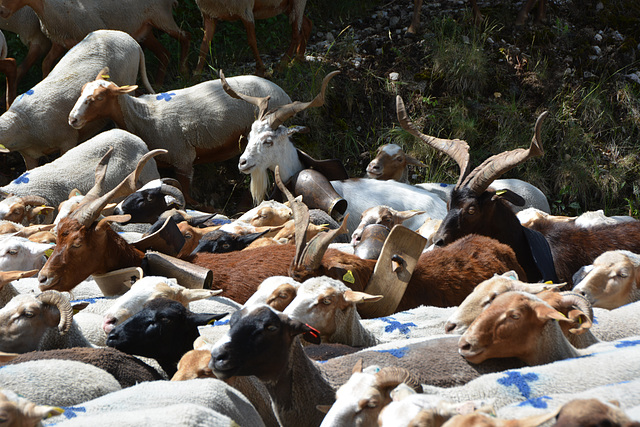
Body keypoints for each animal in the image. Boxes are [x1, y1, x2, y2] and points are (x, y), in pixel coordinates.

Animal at [0, 0, 188, 81]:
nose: (1, 11)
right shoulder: (60, 42)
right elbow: (46, 63)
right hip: (144, 28)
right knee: (164, 53)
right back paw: (159, 84)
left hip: (162, 17)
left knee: (186, 36)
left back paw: (183, 71)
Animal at [68, 73, 292, 202]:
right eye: (82, 91)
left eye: (98, 97)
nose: (72, 119)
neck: (143, 116)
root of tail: (280, 90)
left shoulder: (182, 159)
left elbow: (186, 195)